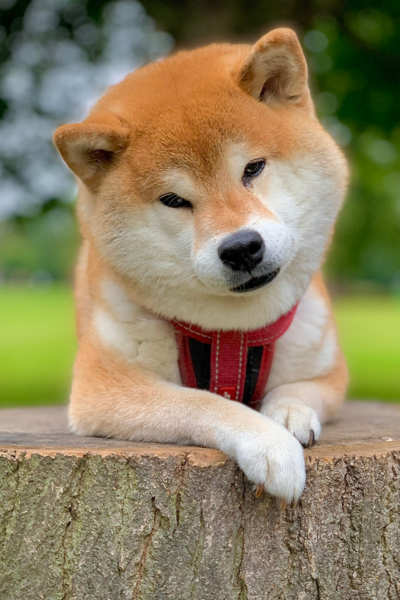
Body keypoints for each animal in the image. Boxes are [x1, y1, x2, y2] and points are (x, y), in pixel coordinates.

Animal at [54, 30, 348, 504]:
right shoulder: (106, 387)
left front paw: (287, 413)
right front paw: (270, 443)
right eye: (175, 200)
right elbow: (205, 402)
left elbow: (299, 388)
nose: (242, 248)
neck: (232, 331)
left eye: (253, 168)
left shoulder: (327, 370)